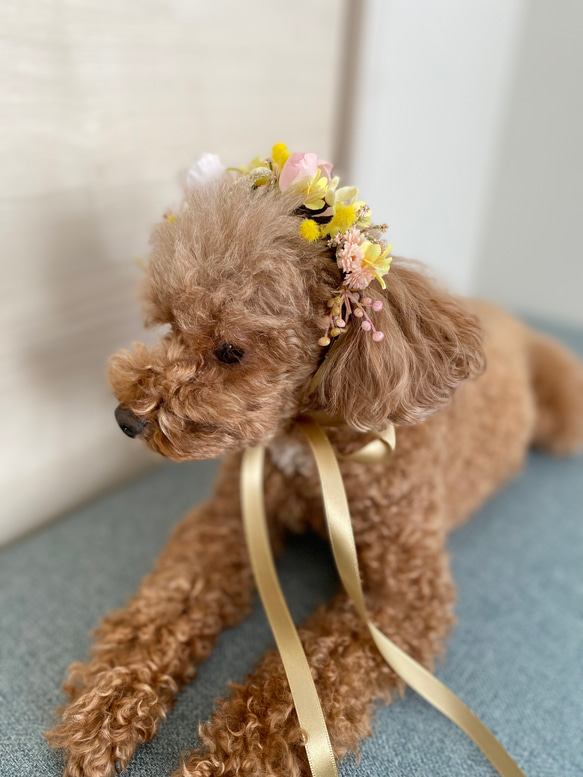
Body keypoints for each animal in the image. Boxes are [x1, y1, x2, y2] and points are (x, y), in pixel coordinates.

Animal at [45, 167, 583, 772]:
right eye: (171, 324)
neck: (311, 432)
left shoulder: (405, 592)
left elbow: (313, 678)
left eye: (230, 351)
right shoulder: (227, 523)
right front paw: (106, 700)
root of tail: (509, 318)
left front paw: (234, 757)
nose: (125, 419)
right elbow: (167, 603)